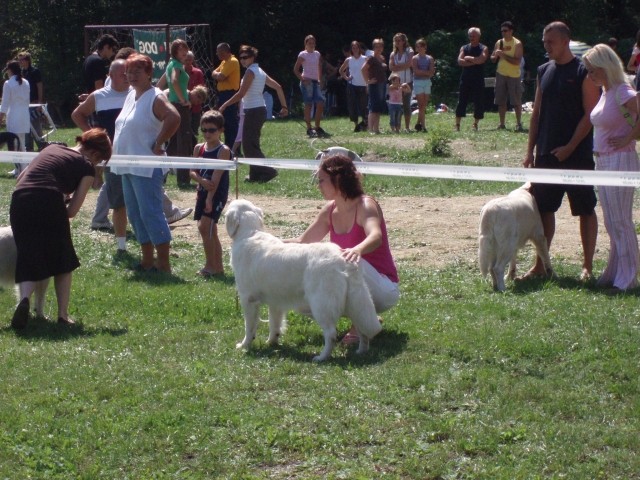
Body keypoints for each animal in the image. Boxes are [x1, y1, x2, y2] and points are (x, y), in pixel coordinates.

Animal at [228, 199, 382, 360]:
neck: (250, 233)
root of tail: (343, 259)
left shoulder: (248, 299)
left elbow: (250, 326)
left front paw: (244, 345)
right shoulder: (275, 302)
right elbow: (274, 324)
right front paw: (272, 342)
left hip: (321, 305)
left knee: (331, 334)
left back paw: (321, 358)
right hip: (354, 303)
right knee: (362, 329)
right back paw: (361, 351)